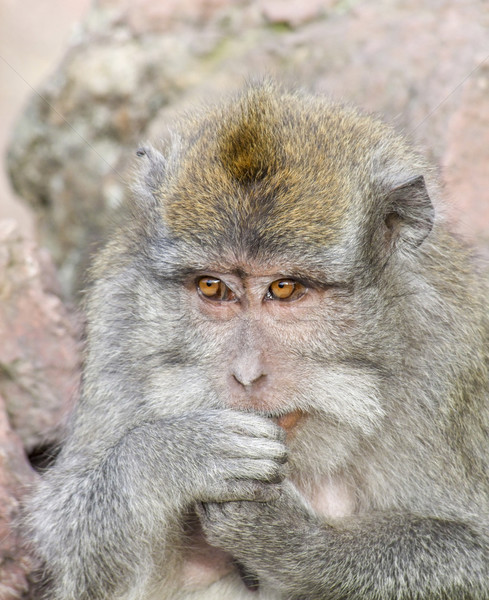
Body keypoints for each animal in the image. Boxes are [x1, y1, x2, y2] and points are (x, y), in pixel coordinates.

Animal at [25, 82, 488, 596]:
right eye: (213, 287)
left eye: (285, 288)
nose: (246, 376)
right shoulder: (118, 316)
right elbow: (68, 540)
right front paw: (170, 456)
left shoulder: (445, 354)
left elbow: (474, 548)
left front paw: (295, 540)